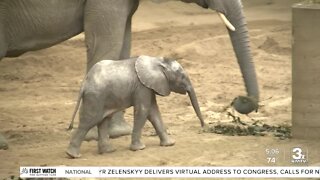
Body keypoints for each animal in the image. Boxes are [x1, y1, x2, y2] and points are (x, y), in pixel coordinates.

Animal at [66, 55, 204, 158]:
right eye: (183, 77)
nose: (203, 128)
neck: (157, 61)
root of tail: (84, 82)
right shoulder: (142, 87)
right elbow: (143, 111)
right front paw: (139, 149)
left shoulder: (149, 87)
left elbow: (153, 112)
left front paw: (170, 144)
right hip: (95, 97)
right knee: (88, 121)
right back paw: (73, 155)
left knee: (103, 121)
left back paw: (108, 151)